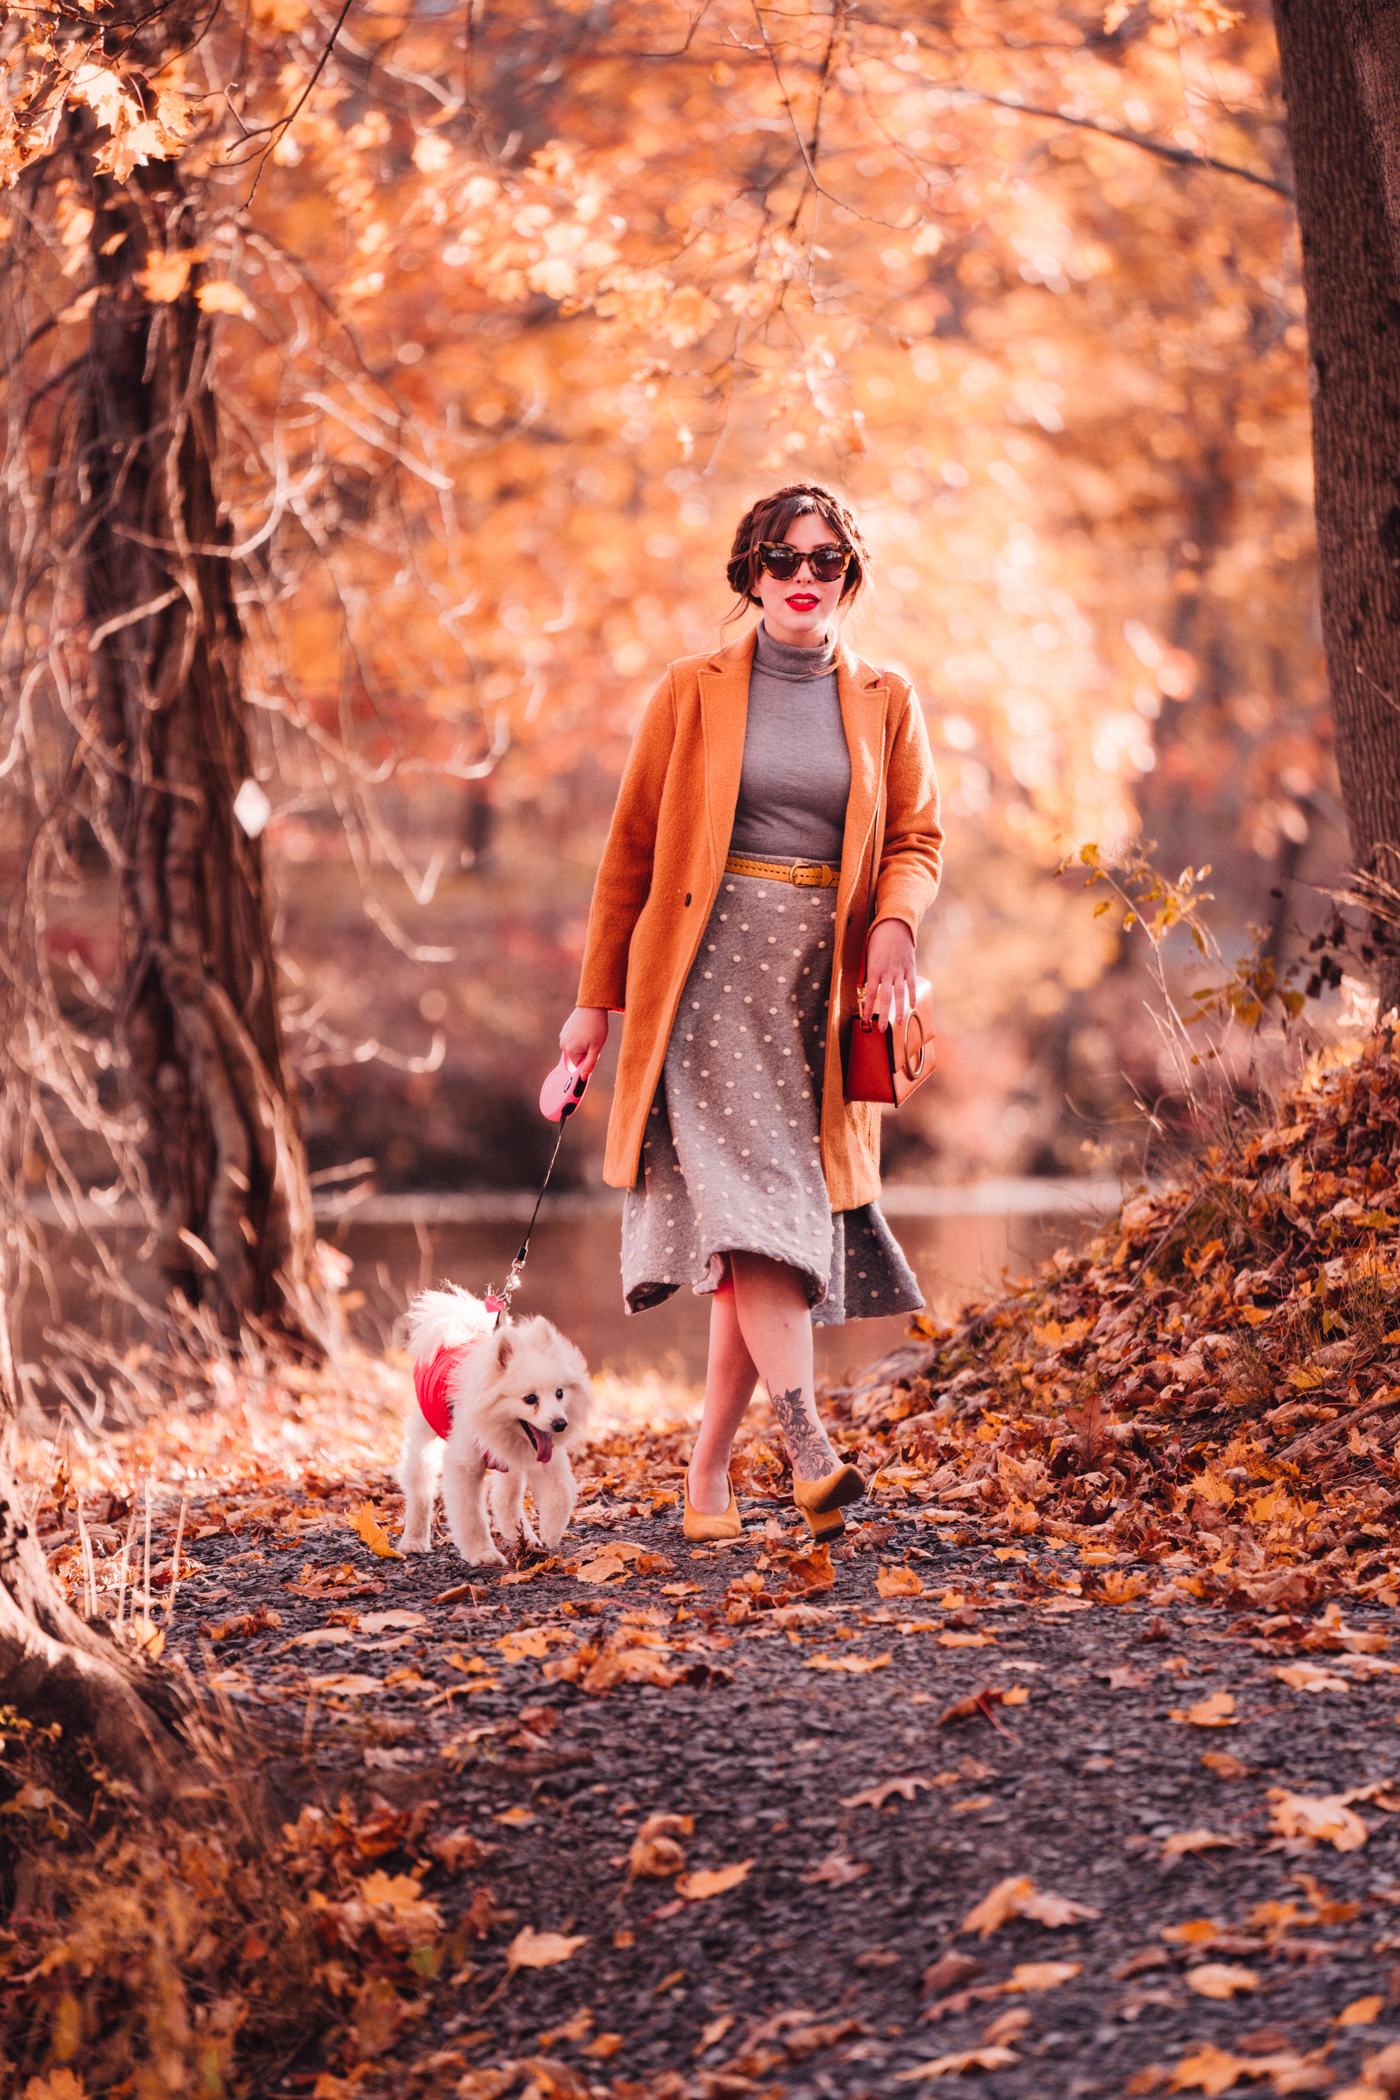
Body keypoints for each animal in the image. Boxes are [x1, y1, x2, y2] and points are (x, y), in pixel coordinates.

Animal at [396, 1276, 596, 1562]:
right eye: (530, 1399)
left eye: (559, 1393)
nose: (560, 1424)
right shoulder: (465, 1465)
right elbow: (471, 1518)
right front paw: (483, 1554)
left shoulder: (545, 1458)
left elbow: (560, 1493)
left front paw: (551, 1533)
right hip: (424, 1437)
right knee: (420, 1491)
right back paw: (413, 1541)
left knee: (504, 1498)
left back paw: (525, 1538)